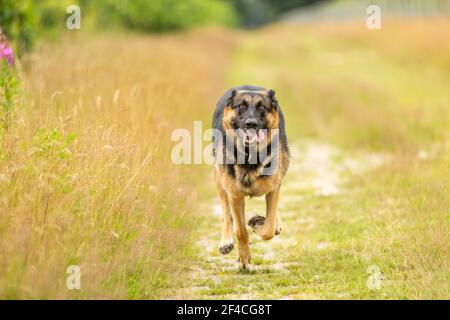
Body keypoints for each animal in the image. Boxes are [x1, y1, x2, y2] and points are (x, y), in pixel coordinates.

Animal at [211, 85, 288, 270]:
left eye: (261, 107)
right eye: (241, 106)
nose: (251, 123)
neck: (250, 157)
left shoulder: (273, 189)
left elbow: (268, 230)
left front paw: (259, 223)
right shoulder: (235, 196)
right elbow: (241, 231)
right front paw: (244, 258)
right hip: (219, 179)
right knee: (226, 212)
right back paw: (226, 241)